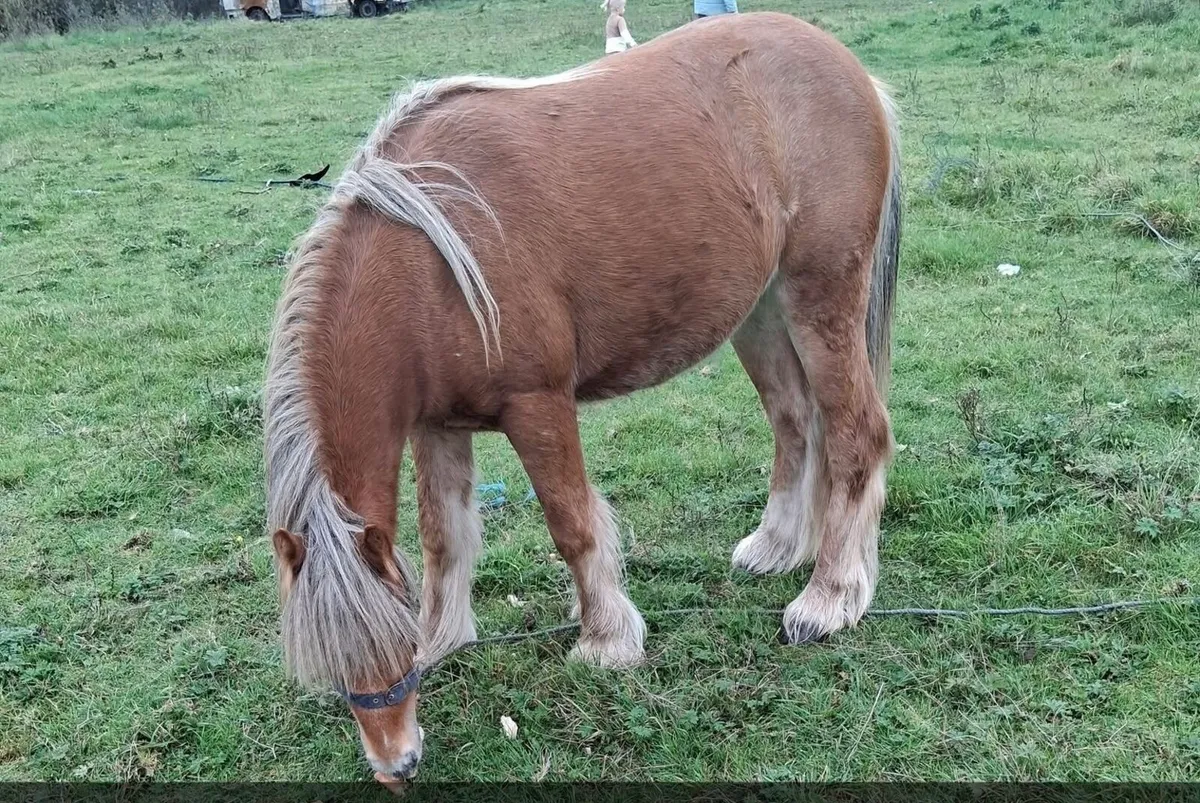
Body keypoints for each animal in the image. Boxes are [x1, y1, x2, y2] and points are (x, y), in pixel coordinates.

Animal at [264, 11, 901, 782]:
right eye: (336, 668)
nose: (397, 764)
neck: (429, 256)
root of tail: (849, 69)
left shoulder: (537, 405)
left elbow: (572, 523)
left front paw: (606, 641)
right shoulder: (438, 426)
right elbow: (445, 536)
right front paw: (444, 638)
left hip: (820, 298)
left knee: (856, 434)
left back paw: (829, 598)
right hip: (761, 313)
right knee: (796, 422)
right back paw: (778, 547)